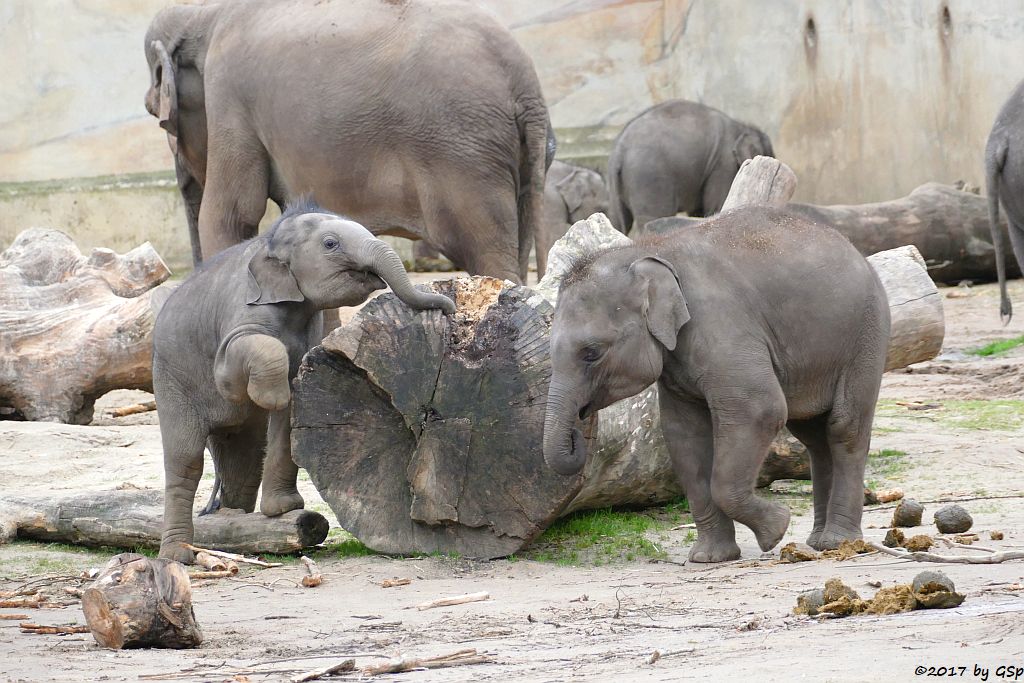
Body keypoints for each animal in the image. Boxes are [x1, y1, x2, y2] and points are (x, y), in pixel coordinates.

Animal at [144, 0, 552, 282]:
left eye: (157, 117)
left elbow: (231, 214)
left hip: (462, 154)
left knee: (486, 255)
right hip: (518, 157)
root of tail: (526, 86)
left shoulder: (228, 97)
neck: (204, 13)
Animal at [153, 200, 454, 565]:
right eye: (330, 244)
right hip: (171, 382)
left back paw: (234, 528)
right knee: (185, 462)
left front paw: (284, 508)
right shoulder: (239, 313)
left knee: (243, 463)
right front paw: (273, 397)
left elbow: (287, 425)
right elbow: (233, 375)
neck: (269, 241)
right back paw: (177, 556)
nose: (449, 309)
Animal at [544, 208, 888, 561]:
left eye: (591, 353)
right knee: (813, 437)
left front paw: (776, 530)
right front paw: (709, 558)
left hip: (866, 335)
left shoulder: (721, 326)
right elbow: (684, 435)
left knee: (844, 428)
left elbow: (760, 410)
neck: (647, 250)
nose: (579, 428)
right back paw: (818, 542)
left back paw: (836, 542)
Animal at [606, 99, 770, 235]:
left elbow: (699, 212)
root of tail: (620, 150)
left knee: (617, 221)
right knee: (651, 218)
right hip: (648, 178)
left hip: (617, 188)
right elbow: (716, 206)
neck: (742, 126)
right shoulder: (723, 164)